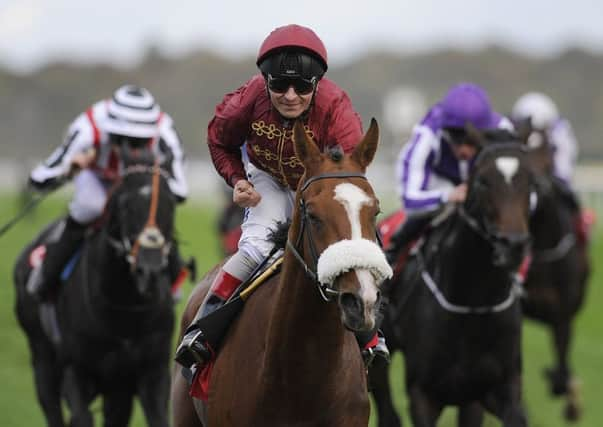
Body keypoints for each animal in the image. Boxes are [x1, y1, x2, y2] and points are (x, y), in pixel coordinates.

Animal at [13, 149, 177, 426]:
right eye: (125, 203)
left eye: (170, 203)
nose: (150, 269)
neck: (125, 312)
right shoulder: (76, 370)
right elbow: (80, 417)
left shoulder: (150, 372)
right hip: (42, 357)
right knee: (51, 405)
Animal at [372, 130, 532, 427]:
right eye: (482, 181)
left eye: (531, 181)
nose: (513, 245)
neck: (473, 304)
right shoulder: (422, 394)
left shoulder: (500, 387)